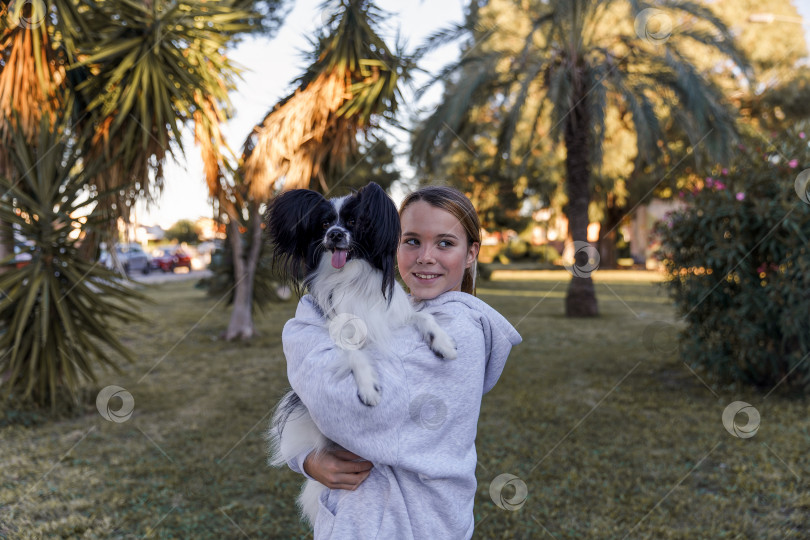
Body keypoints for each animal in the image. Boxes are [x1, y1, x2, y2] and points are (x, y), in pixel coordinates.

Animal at [266, 182, 454, 528]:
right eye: (324, 224)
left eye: (353, 223)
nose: (335, 235)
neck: (349, 278)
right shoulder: (336, 328)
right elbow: (353, 352)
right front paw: (369, 388)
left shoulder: (394, 318)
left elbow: (423, 316)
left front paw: (443, 342)